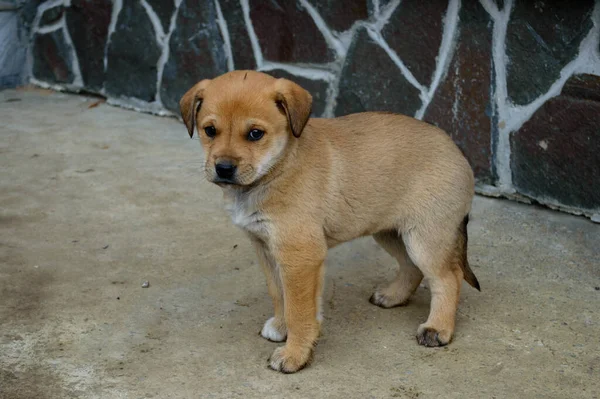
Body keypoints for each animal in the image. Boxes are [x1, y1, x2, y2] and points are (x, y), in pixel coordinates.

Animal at [178, 70, 478, 374]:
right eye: (209, 131)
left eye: (255, 134)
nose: (224, 169)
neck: (279, 168)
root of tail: (457, 151)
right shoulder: (267, 250)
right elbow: (279, 294)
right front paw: (281, 327)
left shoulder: (300, 256)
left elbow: (299, 310)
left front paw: (294, 354)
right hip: (391, 232)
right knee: (411, 267)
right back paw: (394, 296)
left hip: (425, 238)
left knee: (447, 277)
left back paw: (437, 328)